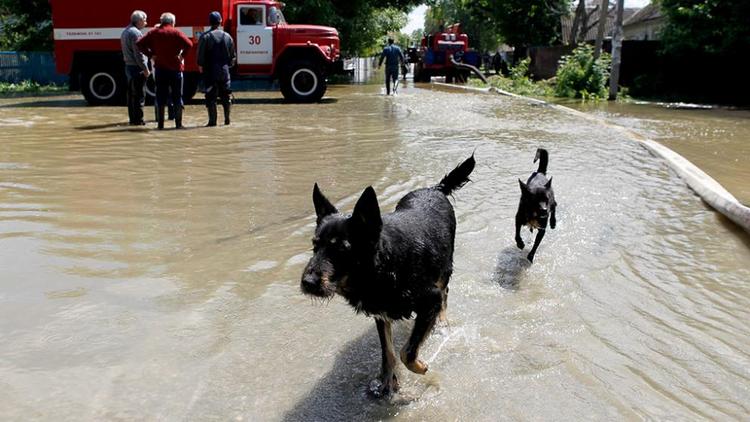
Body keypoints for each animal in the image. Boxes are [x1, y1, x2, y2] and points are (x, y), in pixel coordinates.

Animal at [300, 154, 476, 396]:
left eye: (342, 250)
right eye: (315, 246)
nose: (307, 282)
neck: (383, 268)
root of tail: (436, 188)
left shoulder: (430, 298)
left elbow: (406, 352)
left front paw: (419, 367)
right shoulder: (381, 313)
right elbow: (388, 353)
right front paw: (386, 382)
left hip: (444, 268)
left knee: (445, 292)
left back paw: (442, 323)